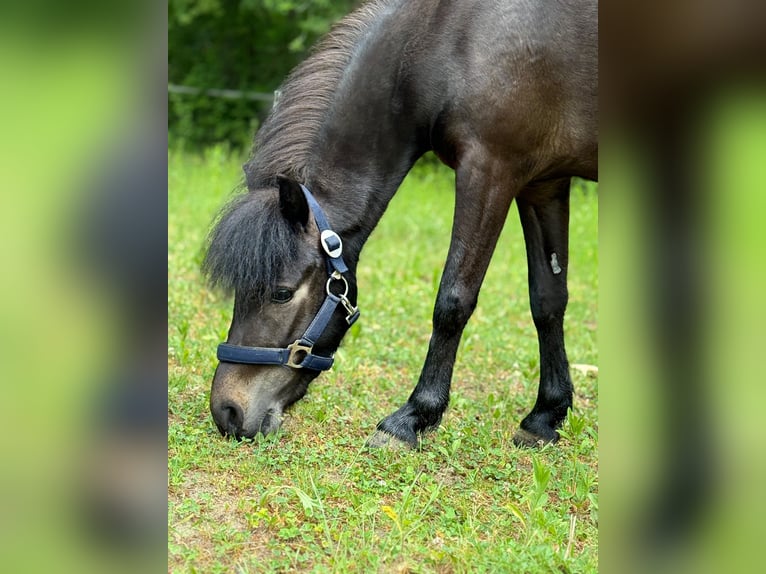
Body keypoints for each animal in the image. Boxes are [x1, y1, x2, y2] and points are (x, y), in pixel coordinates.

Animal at [203, 0, 597, 448]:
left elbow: (453, 301)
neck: (449, 38)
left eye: (282, 294)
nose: (227, 411)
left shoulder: (490, 171)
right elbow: (548, 300)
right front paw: (545, 416)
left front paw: (411, 418)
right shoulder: (543, 184)